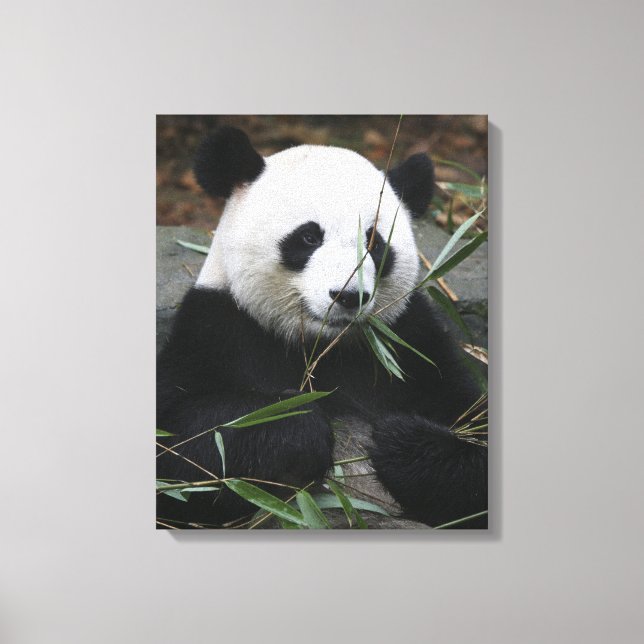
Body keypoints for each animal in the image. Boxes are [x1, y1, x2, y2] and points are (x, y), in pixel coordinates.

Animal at [157, 126, 487, 529]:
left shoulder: (412, 344)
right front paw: (298, 425)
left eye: (374, 241)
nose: (348, 296)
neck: (321, 348)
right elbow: (181, 449)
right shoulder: (216, 328)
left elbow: (476, 436)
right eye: (309, 237)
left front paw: (399, 441)